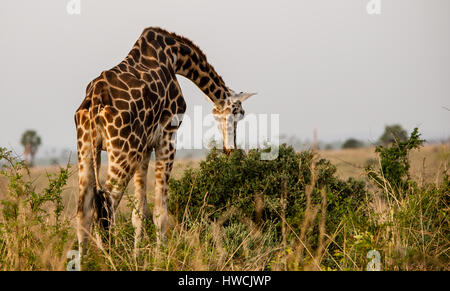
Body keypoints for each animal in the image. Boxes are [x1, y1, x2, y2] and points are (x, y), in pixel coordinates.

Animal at [74, 26, 256, 256]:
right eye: (239, 113)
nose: (230, 148)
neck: (174, 56)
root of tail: (96, 98)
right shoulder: (168, 136)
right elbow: (160, 213)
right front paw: (160, 258)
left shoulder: (144, 148)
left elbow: (139, 213)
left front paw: (138, 257)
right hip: (123, 150)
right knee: (106, 205)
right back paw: (109, 258)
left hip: (87, 147)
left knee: (84, 212)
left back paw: (88, 259)